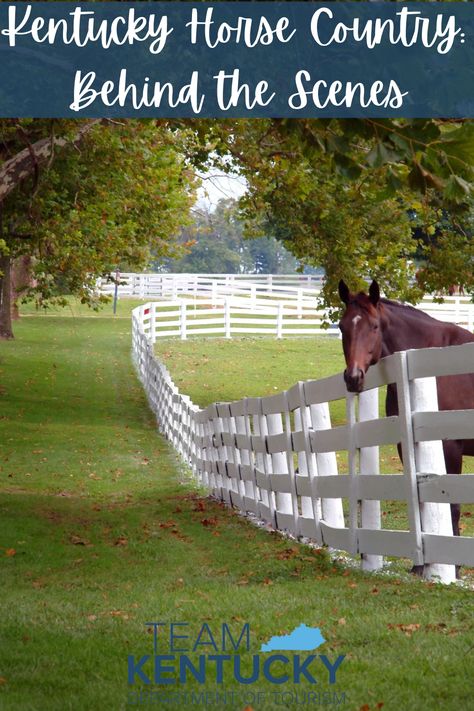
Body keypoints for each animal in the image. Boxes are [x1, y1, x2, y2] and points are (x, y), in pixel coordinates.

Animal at [338, 280, 474, 544]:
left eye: (374, 326)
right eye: (341, 326)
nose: (353, 377)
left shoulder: (450, 448)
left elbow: (451, 508)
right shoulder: (406, 447)